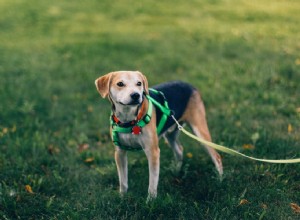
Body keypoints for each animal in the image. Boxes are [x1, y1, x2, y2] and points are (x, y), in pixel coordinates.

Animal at [95, 71, 224, 201]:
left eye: (139, 83)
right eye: (120, 84)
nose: (136, 95)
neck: (129, 120)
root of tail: (189, 85)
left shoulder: (153, 152)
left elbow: (152, 182)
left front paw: (151, 201)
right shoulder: (119, 152)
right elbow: (123, 181)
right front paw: (122, 197)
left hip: (200, 131)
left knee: (217, 156)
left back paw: (220, 180)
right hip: (171, 134)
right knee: (179, 149)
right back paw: (176, 170)